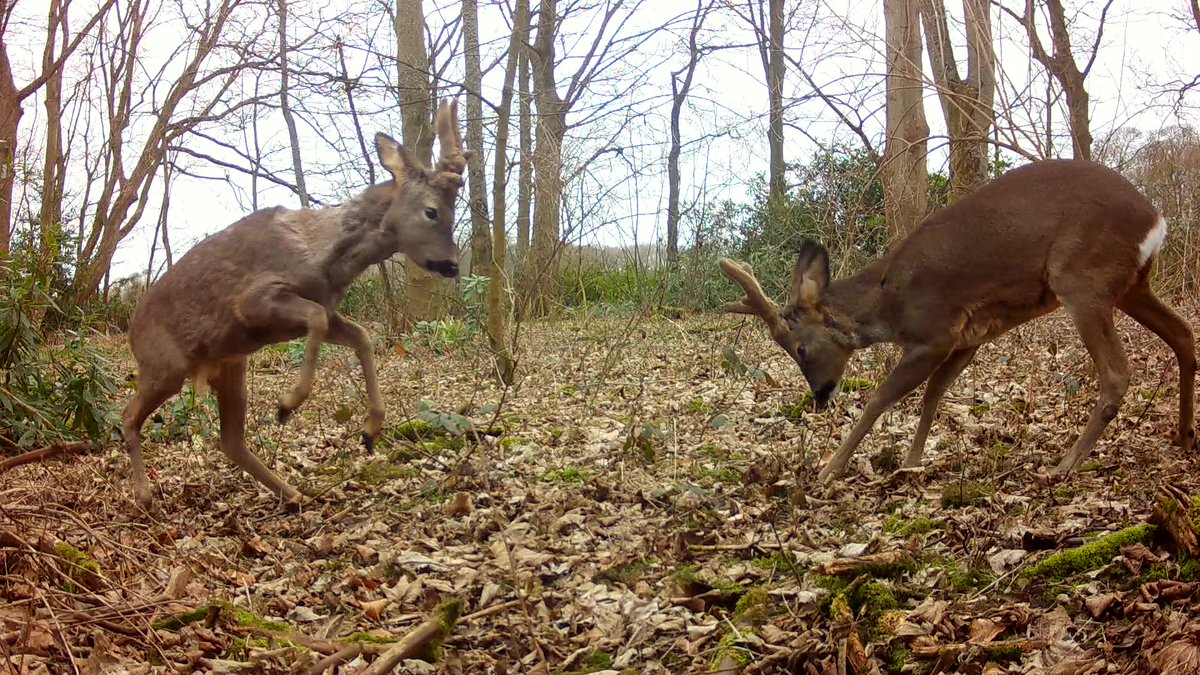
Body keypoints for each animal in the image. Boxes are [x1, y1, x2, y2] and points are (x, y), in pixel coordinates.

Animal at [121, 99, 468, 509]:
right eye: (432, 211)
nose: (452, 264)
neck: (325, 258)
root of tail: (131, 330)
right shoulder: (254, 299)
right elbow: (317, 320)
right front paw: (288, 403)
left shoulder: (326, 308)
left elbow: (361, 335)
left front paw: (370, 429)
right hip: (166, 365)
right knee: (127, 416)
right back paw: (143, 494)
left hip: (231, 363)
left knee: (230, 440)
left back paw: (294, 493)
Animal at [719, 159, 1196, 484]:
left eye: (799, 347)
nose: (820, 396)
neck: (888, 303)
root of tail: (1156, 218)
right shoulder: (968, 338)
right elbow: (933, 395)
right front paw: (910, 464)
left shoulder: (933, 332)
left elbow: (882, 398)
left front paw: (829, 469)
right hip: (1133, 284)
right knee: (1183, 333)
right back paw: (1184, 435)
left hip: (1082, 278)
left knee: (1117, 372)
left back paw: (1064, 465)